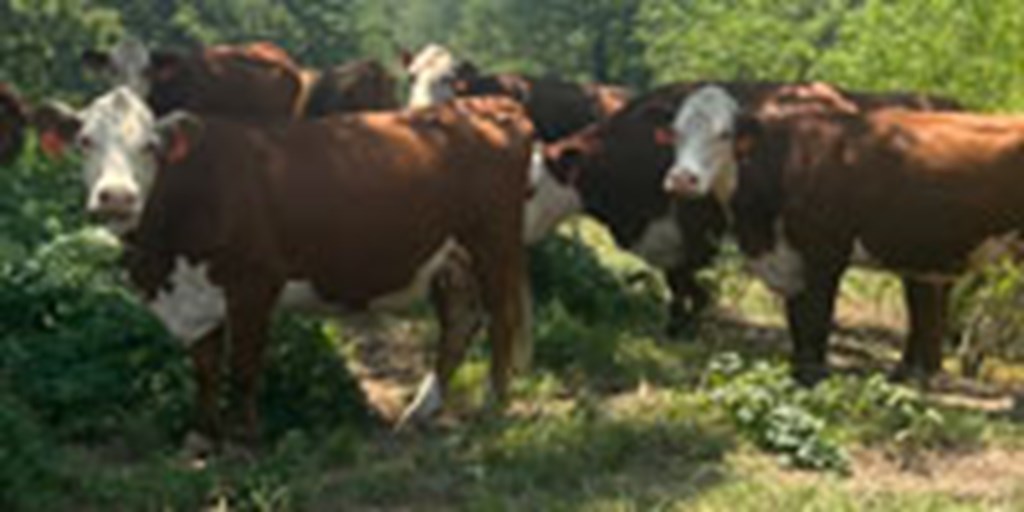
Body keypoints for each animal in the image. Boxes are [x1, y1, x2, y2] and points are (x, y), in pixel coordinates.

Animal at [37, 88, 536, 452]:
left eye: (150, 147)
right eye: (84, 141)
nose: (116, 197)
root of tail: (488, 105)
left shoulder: (254, 282)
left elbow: (243, 366)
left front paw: (243, 439)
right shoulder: (194, 297)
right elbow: (205, 367)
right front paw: (201, 436)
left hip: (493, 243)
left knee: (502, 319)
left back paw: (494, 407)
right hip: (450, 259)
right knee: (460, 321)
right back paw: (421, 411)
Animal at [659, 86, 995, 385]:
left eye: (724, 134)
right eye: (676, 132)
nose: (682, 179)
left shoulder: (826, 254)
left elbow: (817, 317)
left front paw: (814, 377)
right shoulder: (790, 259)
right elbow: (797, 320)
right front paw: (797, 373)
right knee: (924, 302)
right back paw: (912, 370)